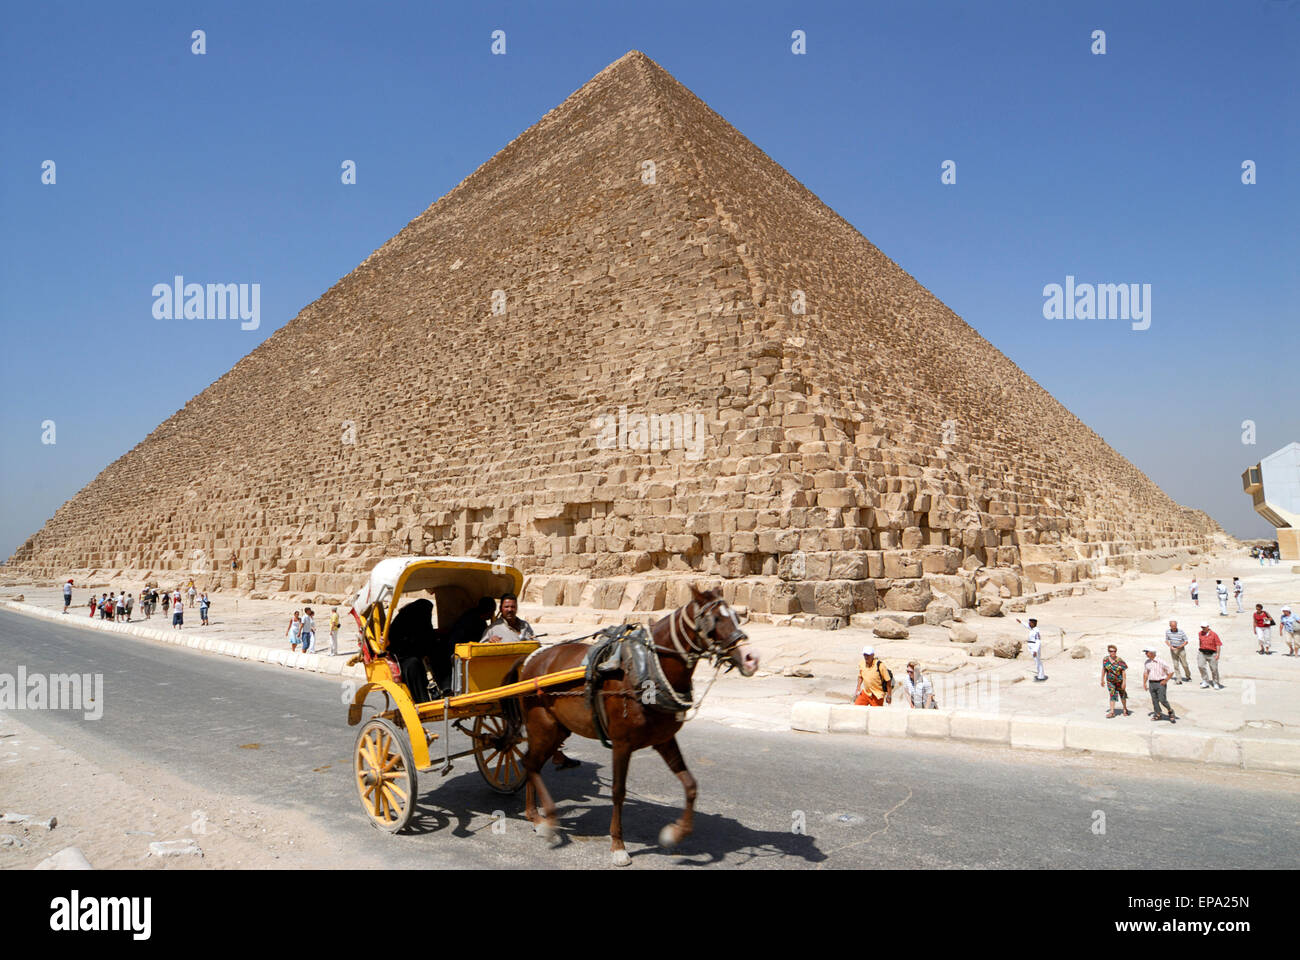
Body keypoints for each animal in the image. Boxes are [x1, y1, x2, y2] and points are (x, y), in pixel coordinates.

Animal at [499, 587, 759, 863]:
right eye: (714, 620)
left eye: (737, 617)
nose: (751, 658)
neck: (648, 670)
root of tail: (530, 659)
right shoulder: (621, 744)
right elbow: (618, 791)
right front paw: (618, 846)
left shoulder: (664, 740)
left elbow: (690, 785)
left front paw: (675, 833)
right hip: (543, 726)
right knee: (530, 764)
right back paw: (545, 819)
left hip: (558, 729)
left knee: (532, 763)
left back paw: (534, 815)